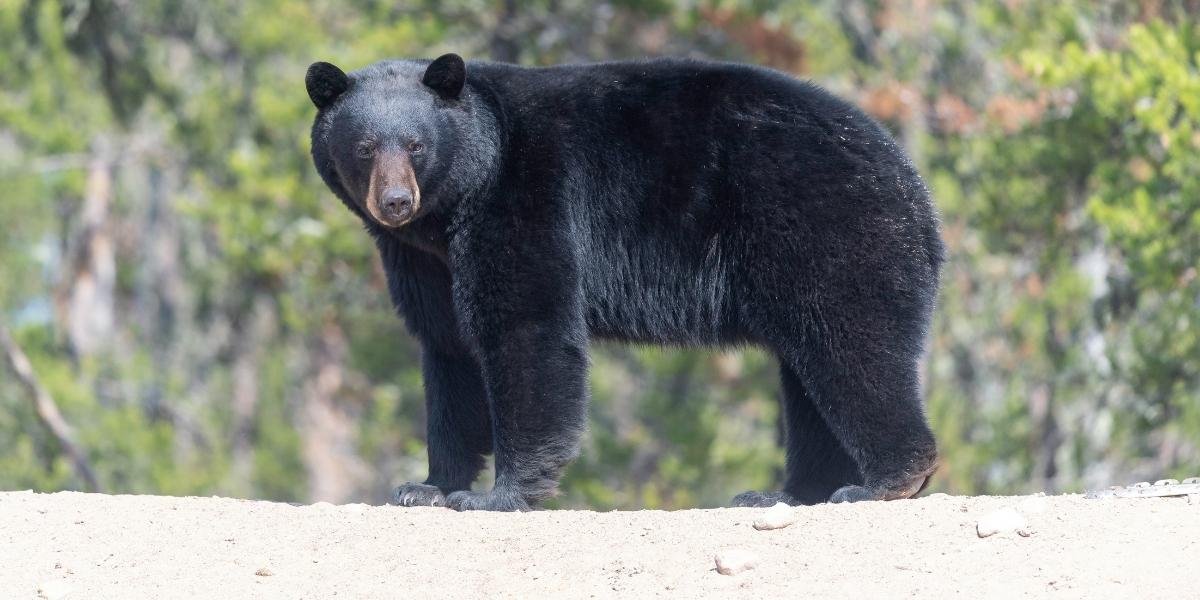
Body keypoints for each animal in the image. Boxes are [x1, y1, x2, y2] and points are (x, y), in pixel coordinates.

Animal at [305, 54, 944, 511]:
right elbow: (448, 348)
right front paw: (427, 485)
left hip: (828, 232)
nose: (395, 201)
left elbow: (526, 327)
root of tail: (915, 190)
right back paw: (786, 493)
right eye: (364, 146)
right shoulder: (423, 260)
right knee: (809, 378)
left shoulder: (526, 199)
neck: (458, 201)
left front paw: (496, 495)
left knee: (853, 348)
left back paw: (882, 482)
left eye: (417, 145)